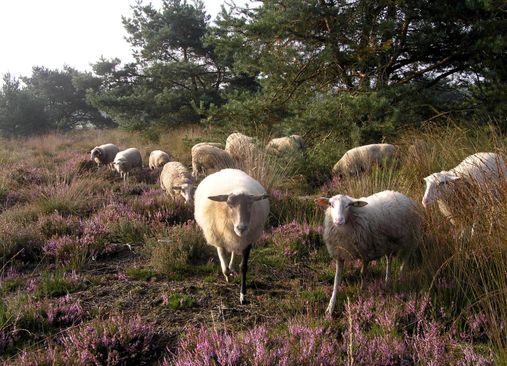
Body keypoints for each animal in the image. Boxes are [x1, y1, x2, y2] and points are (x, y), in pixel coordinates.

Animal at [194, 169, 270, 304]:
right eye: (229, 205)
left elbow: (243, 267)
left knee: (234, 252)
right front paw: (228, 277)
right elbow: (224, 265)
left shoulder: (247, 241)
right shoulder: (219, 240)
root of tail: (228, 169)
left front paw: (243, 295)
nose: (241, 228)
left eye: (250, 205)